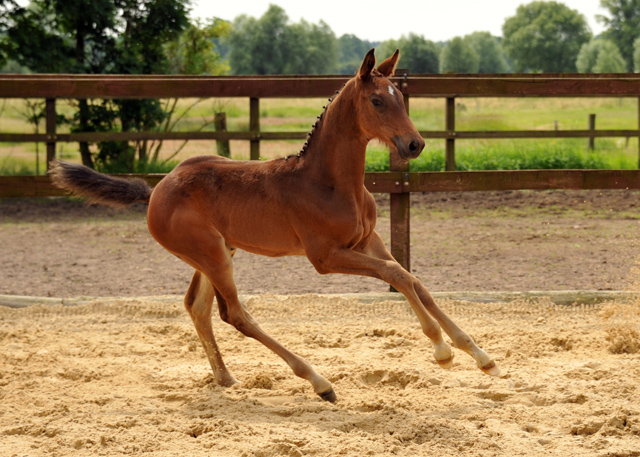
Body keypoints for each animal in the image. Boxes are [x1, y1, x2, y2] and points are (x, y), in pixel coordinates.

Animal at [51, 48, 500, 400]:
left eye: (401, 100)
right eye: (376, 101)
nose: (414, 144)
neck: (329, 181)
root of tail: (157, 189)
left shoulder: (368, 241)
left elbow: (413, 279)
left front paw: (480, 356)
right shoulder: (326, 257)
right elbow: (399, 276)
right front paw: (441, 351)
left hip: (217, 252)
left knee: (198, 307)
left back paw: (227, 379)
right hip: (212, 255)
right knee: (235, 314)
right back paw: (319, 382)